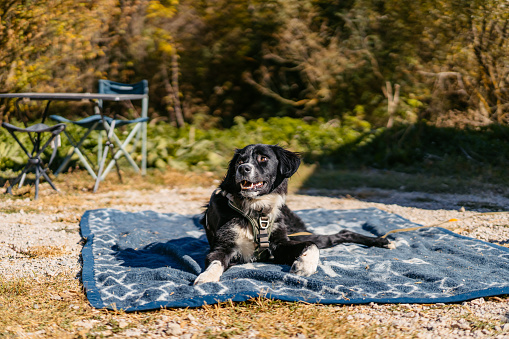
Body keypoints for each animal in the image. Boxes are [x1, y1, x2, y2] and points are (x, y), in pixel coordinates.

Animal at [193, 145, 388, 286]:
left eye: (263, 158)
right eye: (240, 161)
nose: (242, 168)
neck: (256, 210)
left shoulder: (280, 244)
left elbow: (310, 246)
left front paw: (304, 265)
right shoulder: (223, 247)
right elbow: (215, 262)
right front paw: (207, 277)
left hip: (301, 233)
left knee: (339, 234)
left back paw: (382, 241)